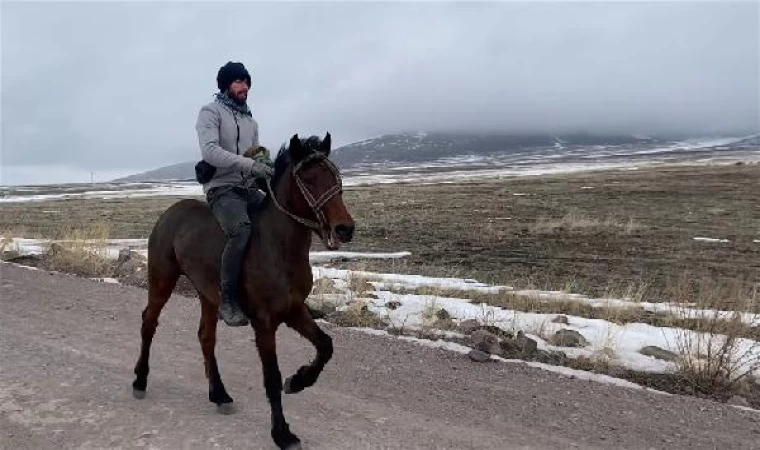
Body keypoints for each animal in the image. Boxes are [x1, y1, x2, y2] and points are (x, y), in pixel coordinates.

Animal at [132, 132, 354, 448]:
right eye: (308, 179)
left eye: (336, 175)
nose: (345, 228)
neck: (279, 248)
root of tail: (170, 212)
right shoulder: (264, 323)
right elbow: (271, 378)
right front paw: (282, 432)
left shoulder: (294, 309)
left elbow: (325, 345)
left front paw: (298, 381)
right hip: (162, 281)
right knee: (149, 322)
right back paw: (140, 380)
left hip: (209, 295)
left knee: (206, 337)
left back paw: (219, 394)